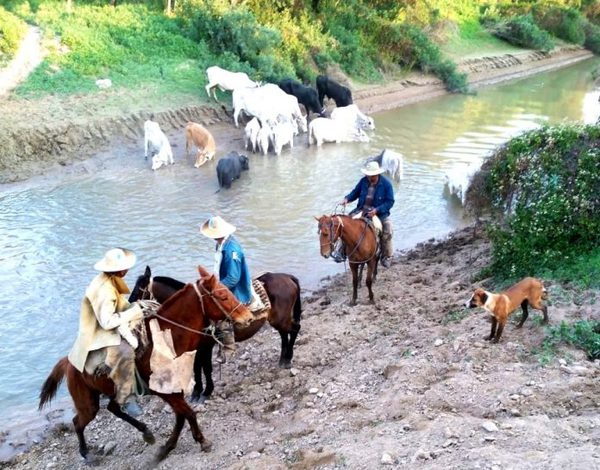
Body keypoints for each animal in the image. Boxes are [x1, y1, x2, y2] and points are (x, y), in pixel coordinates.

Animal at [37, 266, 253, 464]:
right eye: (222, 296)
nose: (248, 316)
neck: (168, 339)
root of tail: (68, 362)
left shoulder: (174, 389)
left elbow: (182, 416)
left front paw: (167, 447)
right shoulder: (166, 391)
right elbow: (188, 413)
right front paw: (198, 441)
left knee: (113, 409)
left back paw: (146, 432)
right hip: (87, 403)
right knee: (78, 422)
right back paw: (87, 454)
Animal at [128, 266, 302, 402]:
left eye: (137, 291)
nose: (128, 308)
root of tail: (288, 277)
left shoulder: (205, 346)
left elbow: (205, 367)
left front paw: (206, 392)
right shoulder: (197, 347)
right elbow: (198, 368)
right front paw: (197, 392)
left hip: (281, 319)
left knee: (294, 329)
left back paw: (288, 358)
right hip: (278, 320)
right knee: (284, 335)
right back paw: (283, 358)